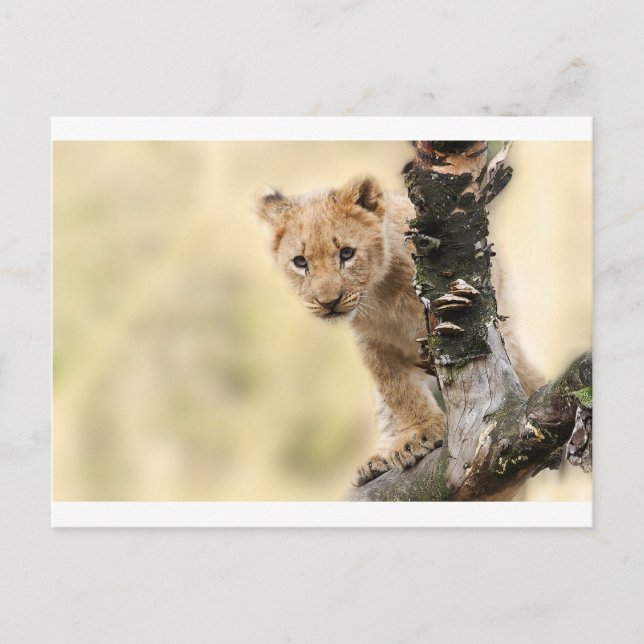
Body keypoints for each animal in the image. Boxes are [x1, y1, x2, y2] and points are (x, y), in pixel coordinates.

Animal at [255, 176, 543, 487]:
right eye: (300, 262)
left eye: (347, 253)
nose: (327, 302)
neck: (380, 294)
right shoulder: (372, 344)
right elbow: (396, 389)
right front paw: (417, 434)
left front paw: (423, 434)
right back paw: (378, 459)